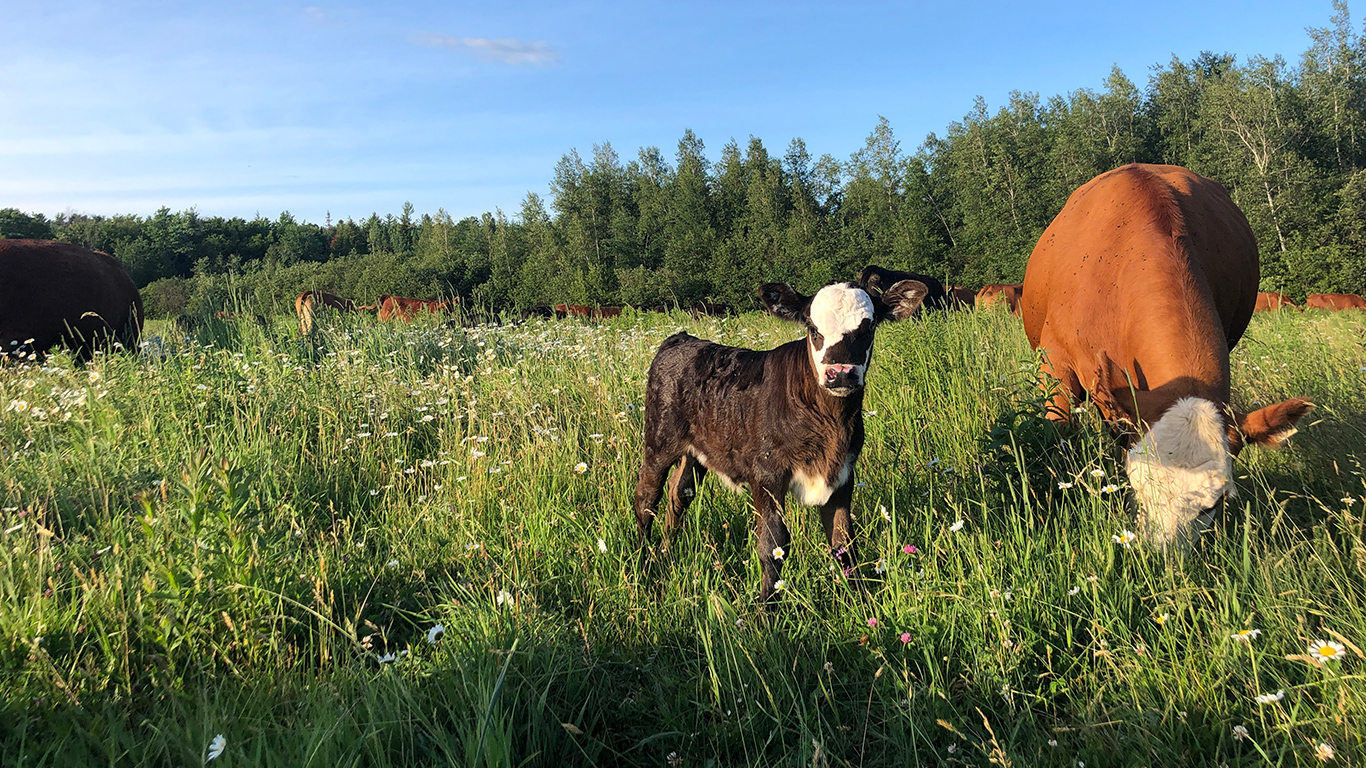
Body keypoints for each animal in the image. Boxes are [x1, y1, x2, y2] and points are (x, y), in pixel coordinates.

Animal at [631, 277, 928, 601]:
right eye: (812, 327)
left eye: (869, 327)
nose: (840, 373)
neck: (830, 423)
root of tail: (682, 339)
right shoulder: (766, 474)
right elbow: (773, 544)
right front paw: (767, 607)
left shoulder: (843, 473)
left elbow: (843, 540)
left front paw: (860, 599)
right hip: (658, 441)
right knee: (646, 497)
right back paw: (643, 564)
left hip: (696, 453)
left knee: (678, 495)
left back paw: (665, 553)